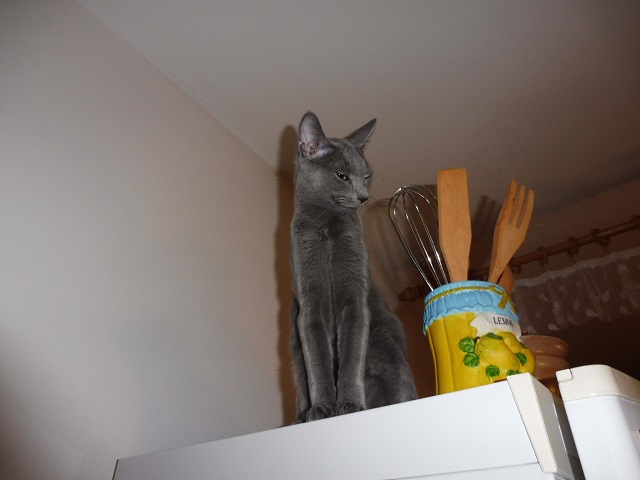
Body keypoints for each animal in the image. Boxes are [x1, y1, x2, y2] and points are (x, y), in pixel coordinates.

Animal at [290, 111, 417, 423]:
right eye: (342, 176)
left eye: (367, 176)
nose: (363, 197)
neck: (325, 224)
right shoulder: (309, 301)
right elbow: (317, 358)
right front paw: (322, 408)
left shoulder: (355, 297)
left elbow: (351, 351)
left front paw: (349, 404)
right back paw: (302, 415)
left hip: (390, 347)